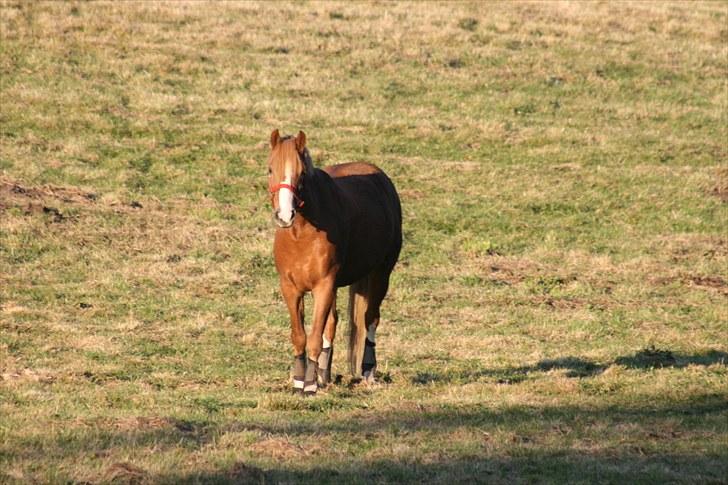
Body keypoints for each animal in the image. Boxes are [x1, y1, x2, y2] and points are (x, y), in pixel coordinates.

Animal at [267, 129, 402, 395]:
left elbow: (314, 337)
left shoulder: (324, 286)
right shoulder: (290, 288)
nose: (285, 216)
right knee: (333, 323)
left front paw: (309, 385)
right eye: (270, 169)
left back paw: (368, 371)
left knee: (370, 318)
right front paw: (301, 381)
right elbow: (300, 336)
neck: (301, 233)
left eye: (301, 173)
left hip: (381, 274)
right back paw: (324, 374)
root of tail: (381, 179)